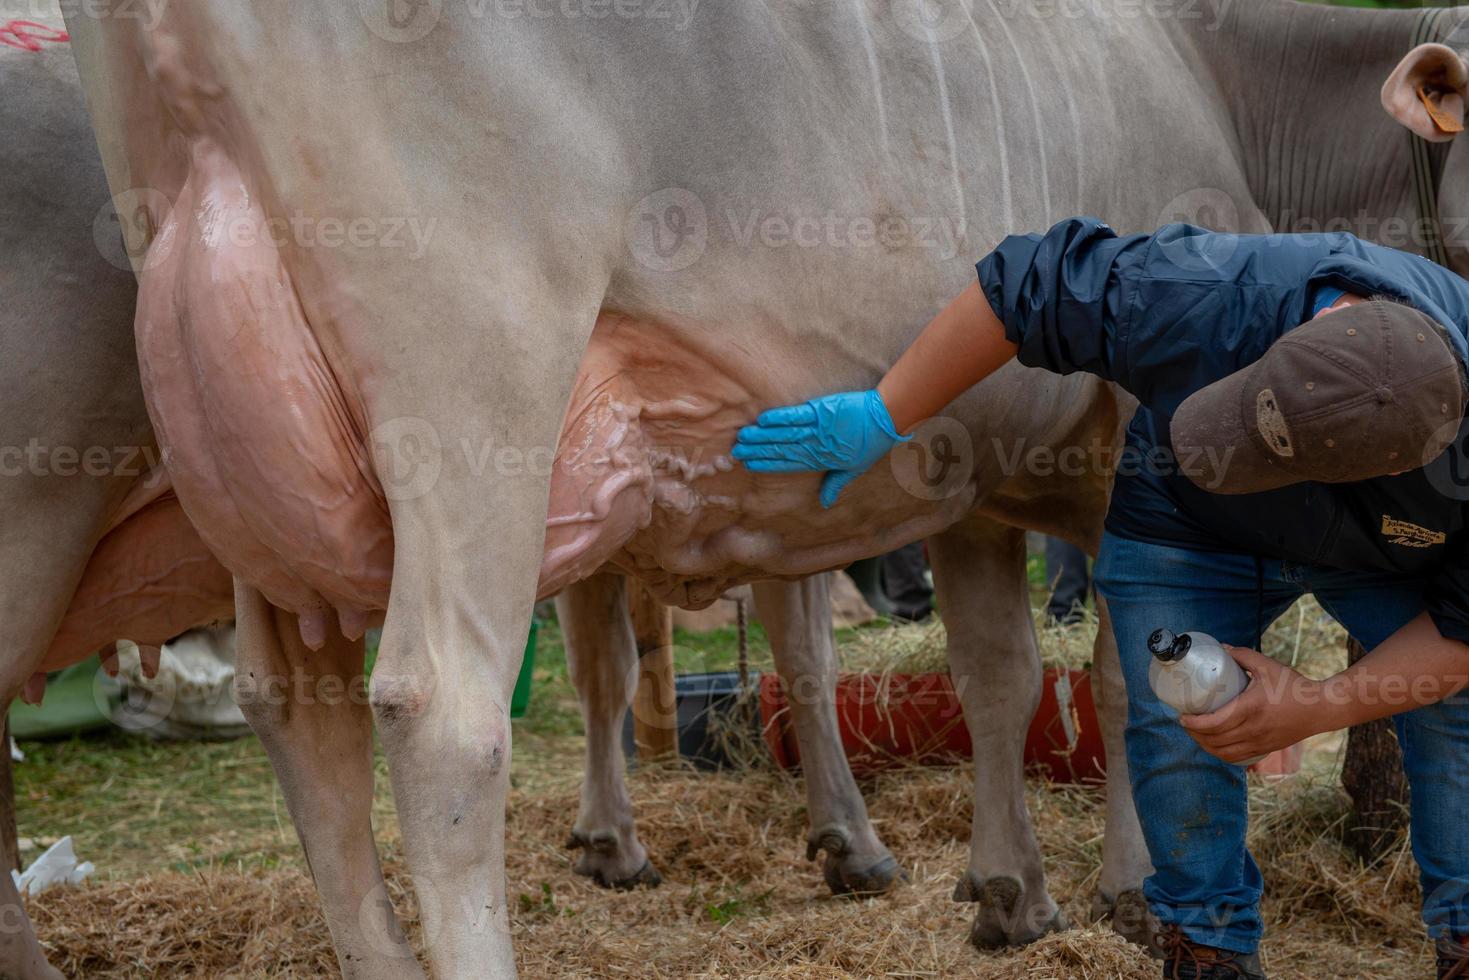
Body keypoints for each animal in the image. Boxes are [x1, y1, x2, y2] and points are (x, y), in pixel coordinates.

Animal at [60, 1, 1469, 980]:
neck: (1221, 89)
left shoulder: (970, 467)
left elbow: (999, 673)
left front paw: (1007, 888)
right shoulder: (1128, 423)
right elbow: (1120, 676)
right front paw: (1123, 880)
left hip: (249, 450)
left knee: (301, 717)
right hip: (473, 392)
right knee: (439, 713)